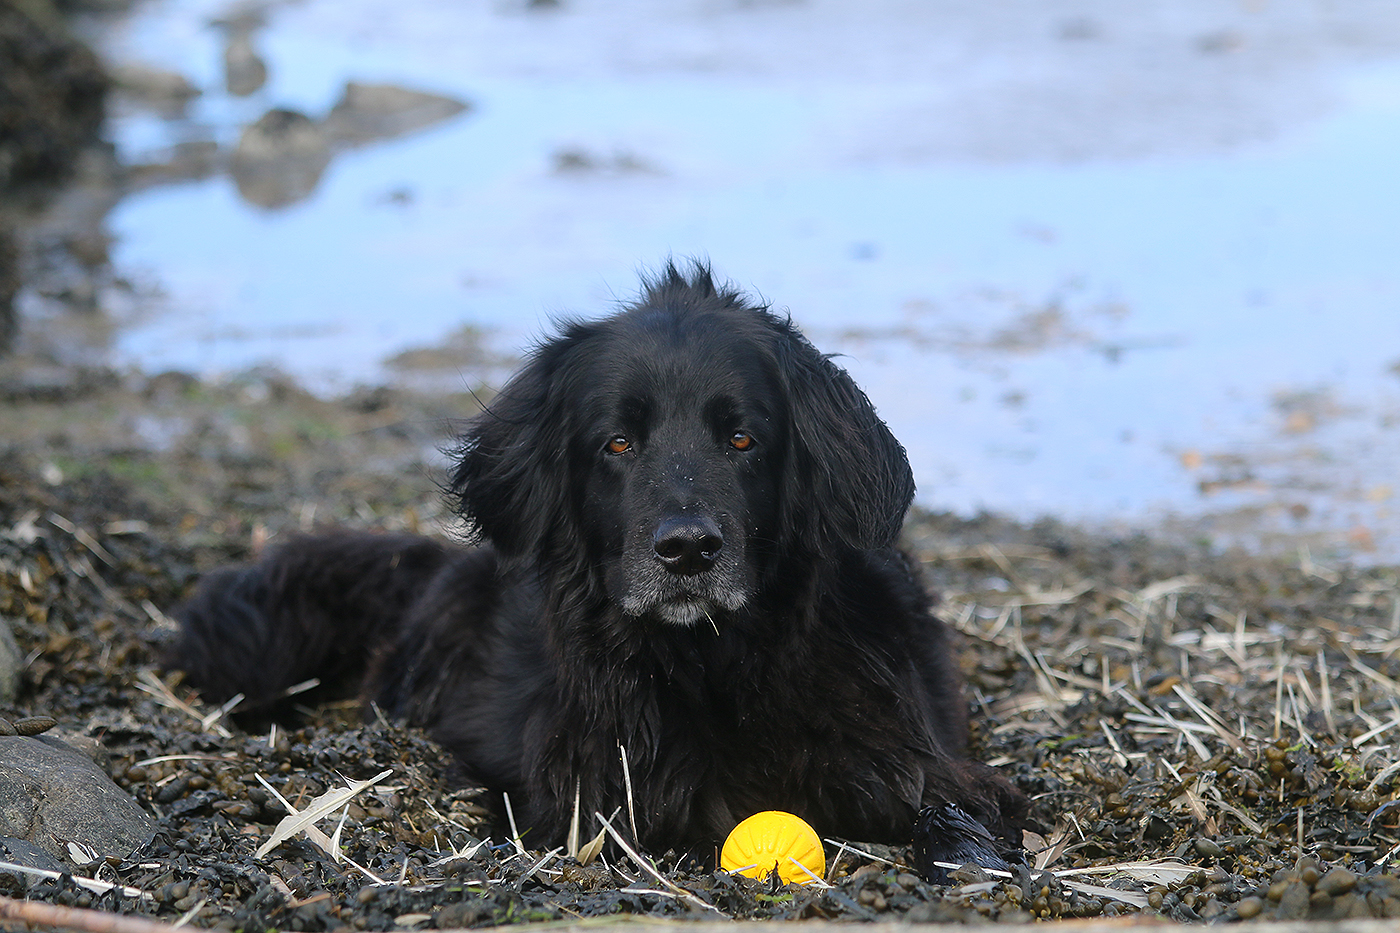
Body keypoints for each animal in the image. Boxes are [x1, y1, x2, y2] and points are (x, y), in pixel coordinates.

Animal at [170, 263, 1026, 871]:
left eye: (743, 438)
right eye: (617, 441)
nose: (688, 549)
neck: (712, 666)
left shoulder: (916, 760)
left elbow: (952, 807)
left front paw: (964, 856)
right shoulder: (587, 793)